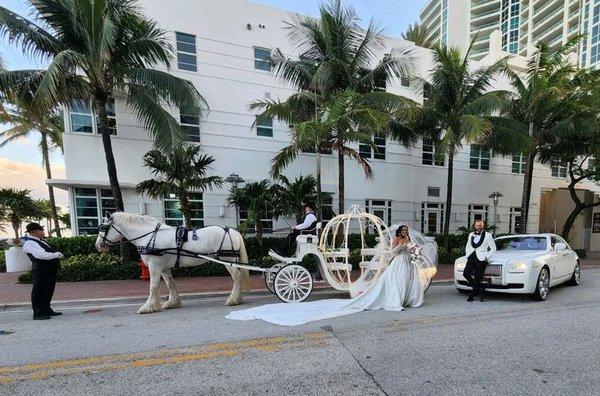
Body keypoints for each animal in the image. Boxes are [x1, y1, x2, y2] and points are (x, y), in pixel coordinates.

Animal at [95, 212, 250, 314]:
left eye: (102, 227)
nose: (98, 246)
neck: (150, 236)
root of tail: (233, 231)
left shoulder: (154, 266)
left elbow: (153, 286)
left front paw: (148, 306)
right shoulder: (164, 268)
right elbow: (170, 284)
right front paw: (173, 302)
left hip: (227, 260)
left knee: (237, 277)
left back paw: (233, 299)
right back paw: (238, 298)